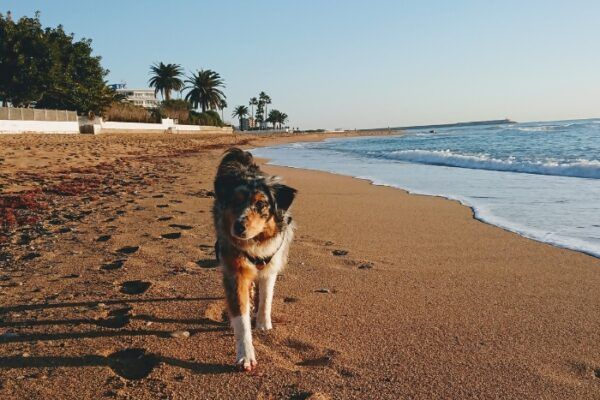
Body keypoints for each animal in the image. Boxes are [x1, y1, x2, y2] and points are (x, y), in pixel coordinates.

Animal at [213, 148, 298, 372]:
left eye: (261, 204)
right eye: (235, 201)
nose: (238, 227)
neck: (257, 241)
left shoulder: (270, 264)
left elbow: (266, 297)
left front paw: (263, 323)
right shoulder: (235, 271)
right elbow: (241, 319)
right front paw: (246, 356)